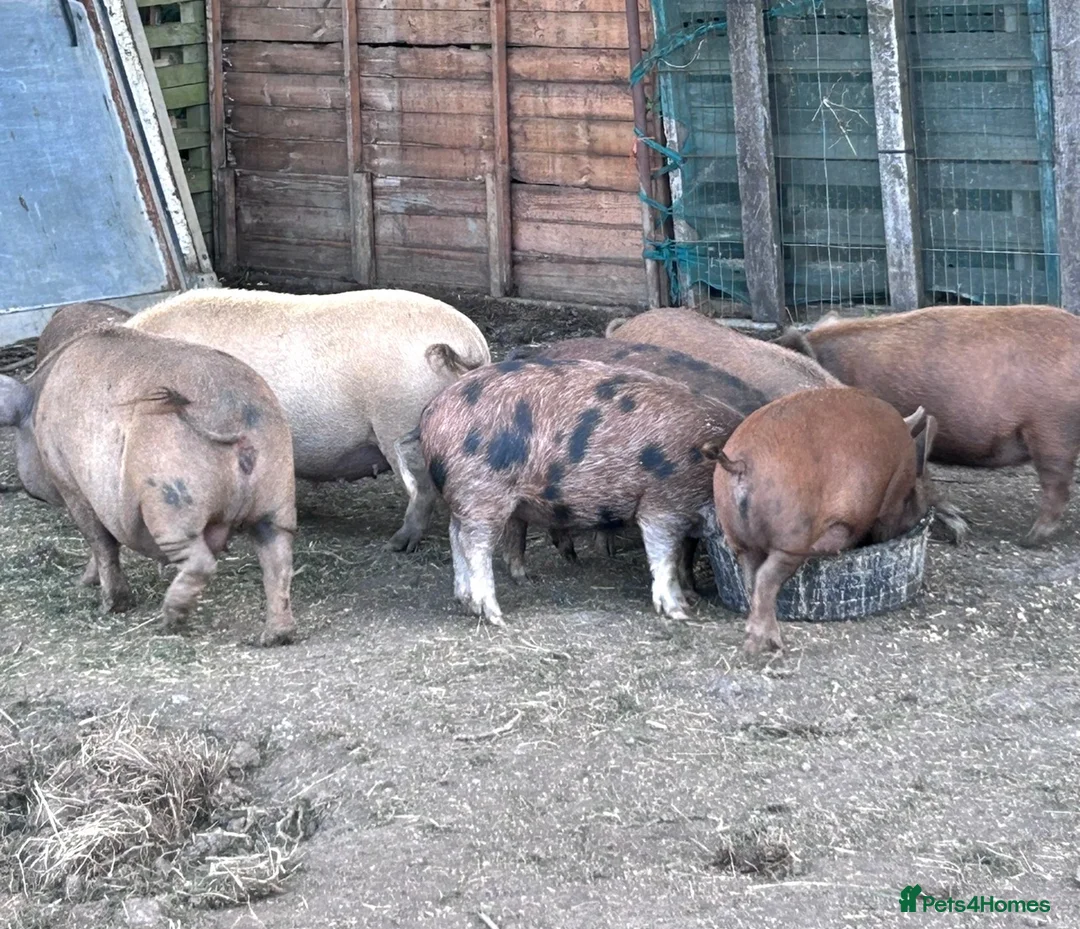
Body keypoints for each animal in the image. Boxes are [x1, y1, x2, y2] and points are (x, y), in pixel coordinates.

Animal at [0, 327, 297, 645]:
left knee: (201, 562)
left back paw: (168, 621)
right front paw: (85, 582)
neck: (37, 402)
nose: (29, 489)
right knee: (278, 558)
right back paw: (274, 636)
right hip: (277, 489)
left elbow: (101, 542)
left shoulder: (73, 486)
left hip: (171, 497)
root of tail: (237, 416)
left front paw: (108, 604)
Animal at [409, 357, 742, 623]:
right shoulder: (663, 504)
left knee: (455, 535)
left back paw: (467, 602)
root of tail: (430, 412)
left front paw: (691, 599)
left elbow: (684, 554)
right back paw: (496, 617)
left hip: (463, 496)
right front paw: (679, 613)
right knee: (474, 544)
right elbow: (665, 556)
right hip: (481, 491)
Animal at [704, 388, 935, 654]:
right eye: (912, 492)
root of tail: (741, 464)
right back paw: (772, 645)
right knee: (765, 578)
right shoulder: (892, 494)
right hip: (792, 537)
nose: (925, 510)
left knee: (751, 579)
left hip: (738, 537)